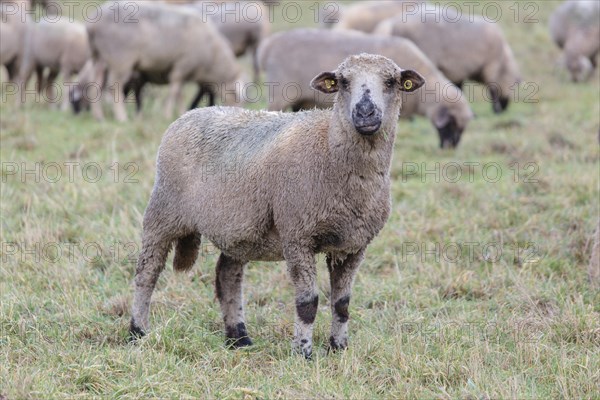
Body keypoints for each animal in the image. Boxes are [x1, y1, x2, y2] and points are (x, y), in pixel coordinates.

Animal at [85, 1, 244, 121]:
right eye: (234, 93)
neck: (212, 57)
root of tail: (92, 26)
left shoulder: (183, 70)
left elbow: (180, 94)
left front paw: (181, 111)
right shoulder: (183, 65)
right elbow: (175, 91)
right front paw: (167, 114)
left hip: (98, 56)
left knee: (95, 84)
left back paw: (98, 116)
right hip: (121, 59)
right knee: (114, 87)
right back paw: (121, 117)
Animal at [130, 54, 426, 360]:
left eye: (390, 81)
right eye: (343, 82)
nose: (365, 112)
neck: (329, 148)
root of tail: (189, 114)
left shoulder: (353, 245)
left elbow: (342, 302)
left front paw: (338, 349)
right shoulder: (297, 235)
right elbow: (308, 303)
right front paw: (303, 353)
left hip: (239, 229)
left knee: (227, 275)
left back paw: (239, 338)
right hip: (163, 211)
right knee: (147, 273)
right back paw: (138, 331)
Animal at [376, 4, 520, 114]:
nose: (505, 109)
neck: (503, 61)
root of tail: (391, 24)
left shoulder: (458, 71)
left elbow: (459, 88)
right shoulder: (491, 65)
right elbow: (493, 87)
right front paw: (496, 109)